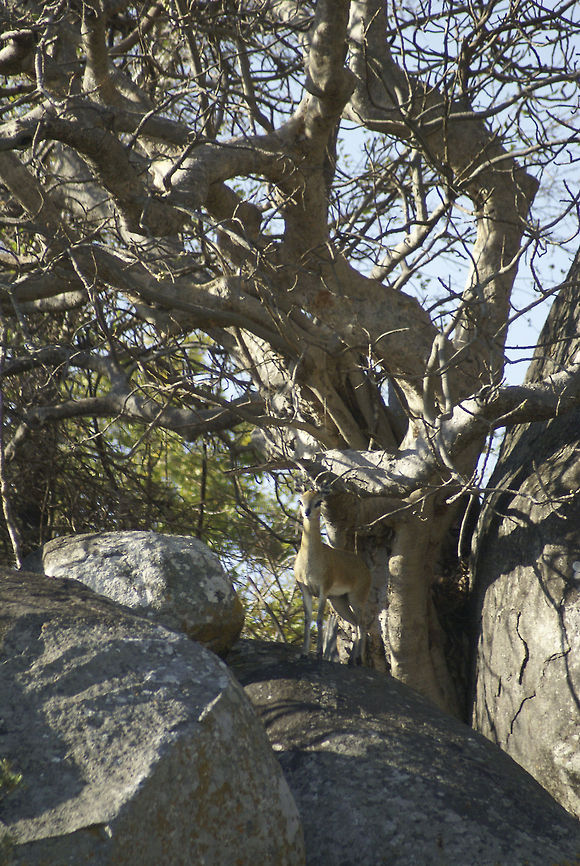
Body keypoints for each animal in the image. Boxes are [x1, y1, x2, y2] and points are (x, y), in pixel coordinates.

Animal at [294, 490, 371, 663]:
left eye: (319, 501)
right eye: (300, 501)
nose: (307, 512)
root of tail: (365, 567)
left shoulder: (324, 589)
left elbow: (319, 618)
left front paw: (318, 653)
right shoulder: (305, 589)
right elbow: (308, 618)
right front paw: (303, 653)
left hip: (356, 598)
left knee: (362, 623)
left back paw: (358, 660)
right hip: (338, 601)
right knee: (354, 623)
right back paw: (351, 660)